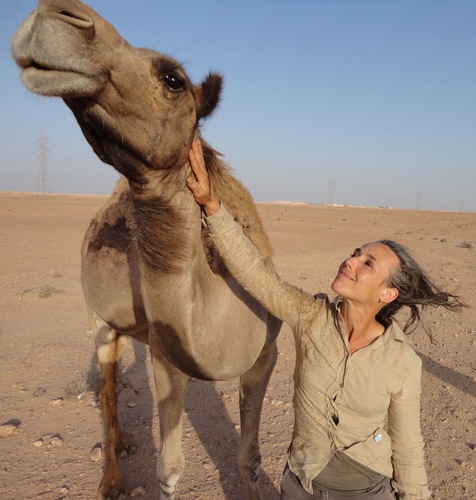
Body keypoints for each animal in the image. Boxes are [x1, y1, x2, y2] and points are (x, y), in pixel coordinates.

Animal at [13, 0, 282, 500]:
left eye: (173, 79)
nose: (56, 14)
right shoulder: (165, 356)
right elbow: (169, 470)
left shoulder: (265, 353)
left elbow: (249, 457)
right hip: (97, 320)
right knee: (107, 390)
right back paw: (112, 476)